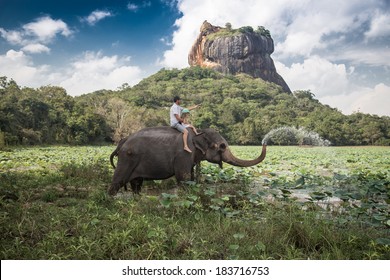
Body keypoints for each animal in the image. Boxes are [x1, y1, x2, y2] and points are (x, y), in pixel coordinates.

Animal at [107, 126, 266, 196]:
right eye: (221, 146)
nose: (264, 142)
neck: (198, 133)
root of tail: (122, 142)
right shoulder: (183, 154)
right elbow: (183, 178)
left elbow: (190, 177)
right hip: (126, 159)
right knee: (117, 182)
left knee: (136, 184)